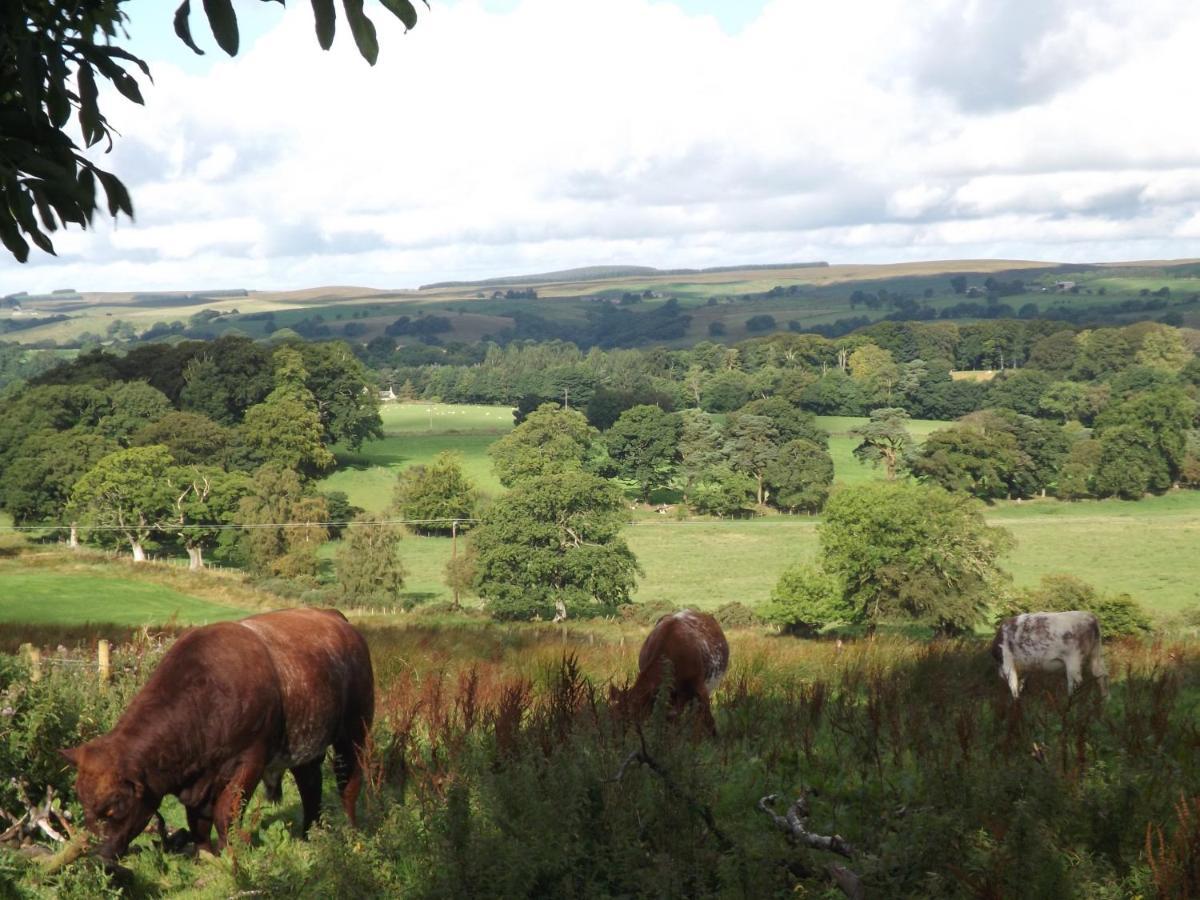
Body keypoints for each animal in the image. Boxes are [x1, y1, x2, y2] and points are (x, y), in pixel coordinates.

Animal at [56, 609, 372, 864]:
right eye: (83, 804)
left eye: (113, 808)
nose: (97, 857)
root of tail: (335, 619)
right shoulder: (197, 782)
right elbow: (197, 821)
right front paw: (205, 854)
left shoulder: (249, 763)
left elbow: (225, 814)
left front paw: (231, 853)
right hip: (306, 745)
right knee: (310, 787)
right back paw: (309, 835)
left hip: (354, 732)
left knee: (348, 784)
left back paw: (352, 831)